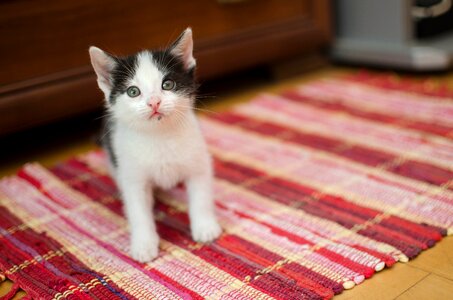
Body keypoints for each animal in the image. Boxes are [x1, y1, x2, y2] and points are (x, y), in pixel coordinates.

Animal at [88, 28, 221, 262]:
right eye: (133, 91)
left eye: (167, 84)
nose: (154, 102)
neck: (159, 137)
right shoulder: (133, 178)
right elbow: (138, 211)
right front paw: (144, 244)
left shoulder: (199, 163)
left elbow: (201, 196)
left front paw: (204, 226)